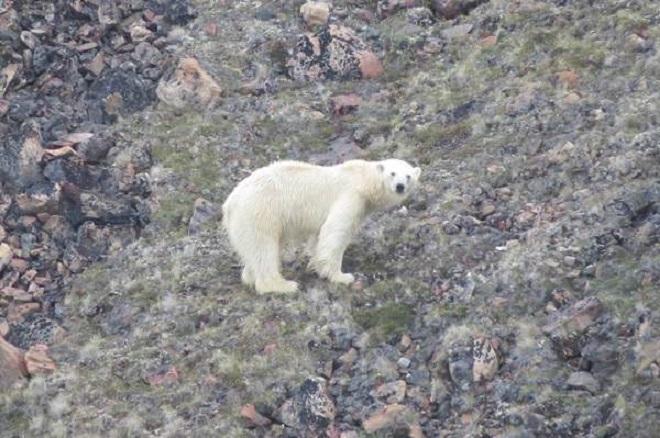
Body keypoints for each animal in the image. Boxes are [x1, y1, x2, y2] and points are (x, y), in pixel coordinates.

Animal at [220, 159, 418, 292]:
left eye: (408, 176)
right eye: (392, 173)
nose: (400, 186)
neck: (361, 178)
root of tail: (229, 204)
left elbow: (318, 237)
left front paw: (317, 266)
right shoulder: (351, 196)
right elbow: (335, 232)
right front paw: (342, 276)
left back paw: (249, 276)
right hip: (259, 213)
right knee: (263, 248)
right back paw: (283, 285)